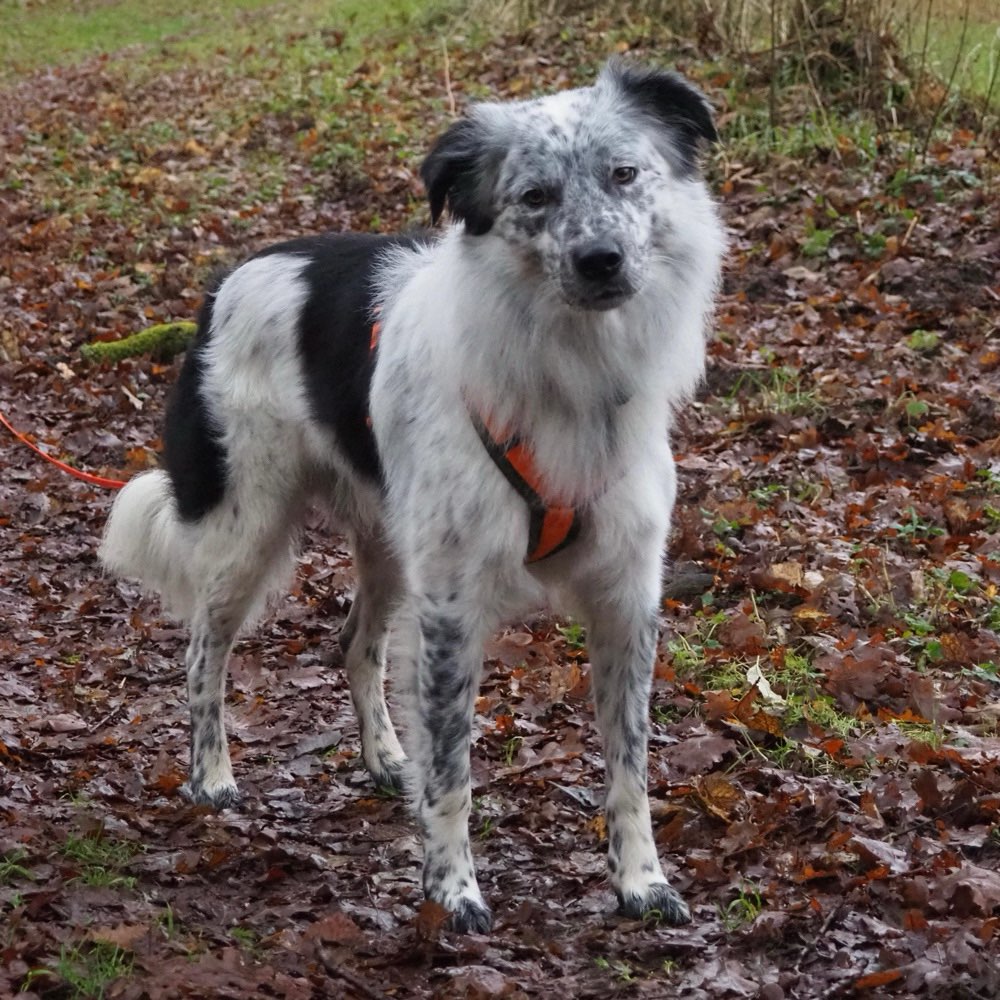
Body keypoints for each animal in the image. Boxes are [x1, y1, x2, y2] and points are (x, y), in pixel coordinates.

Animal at [99, 62, 728, 932]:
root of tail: (228, 279)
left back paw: (383, 757)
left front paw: (640, 880)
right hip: (247, 531)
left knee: (353, 645)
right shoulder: (454, 606)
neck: (569, 375)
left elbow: (629, 765)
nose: (601, 259)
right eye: (535, 196)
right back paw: (212, 776)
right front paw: (451, 889)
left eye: (624, 174)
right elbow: (454, 769)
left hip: (393, 546)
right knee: (203, 655)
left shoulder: (625, 596)